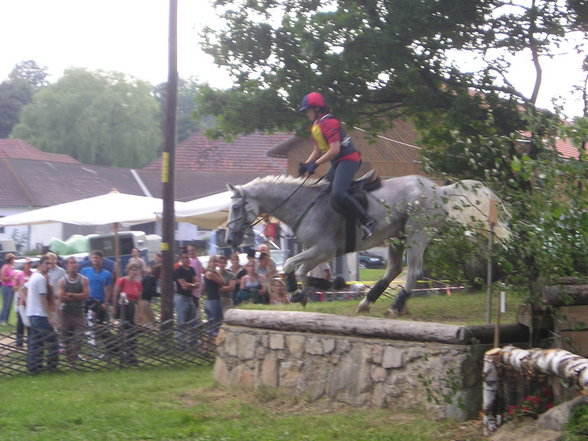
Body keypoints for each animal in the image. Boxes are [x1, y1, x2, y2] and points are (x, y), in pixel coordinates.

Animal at [225, 174, 510, 314]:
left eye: (236, 207)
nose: (229, 240)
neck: (304, 204)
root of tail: (439, 191)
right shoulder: (318, 252)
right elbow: (301, 269)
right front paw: (311, 290)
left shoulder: (324, 249)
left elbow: (290, 265)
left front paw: (297, 291)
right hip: (397, 237)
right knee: (393, 270)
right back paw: (367, 302)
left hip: (416, 234)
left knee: (413, 271)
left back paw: (395, 306)